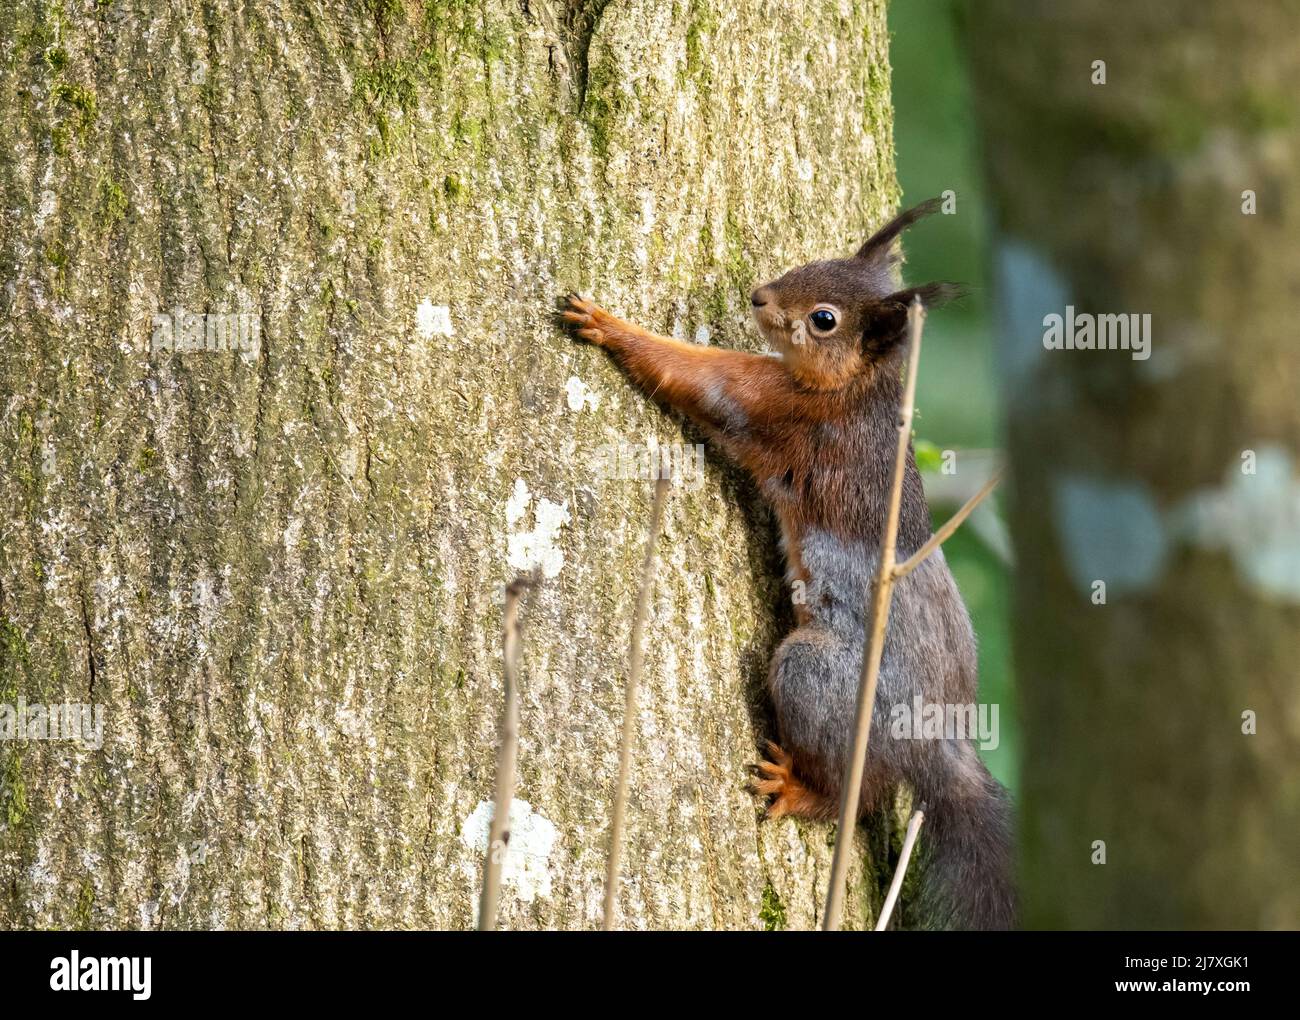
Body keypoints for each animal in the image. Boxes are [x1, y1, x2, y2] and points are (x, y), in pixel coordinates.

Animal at [561, 201, 1013, 930]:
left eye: (824, 318)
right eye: (813, 262)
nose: (758, 297)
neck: (859, 390)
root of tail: (938, 745)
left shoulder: (779, 406)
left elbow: (702, 377)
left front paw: (608, 324)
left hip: (820, 680)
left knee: (854, 794)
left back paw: (799, 790)